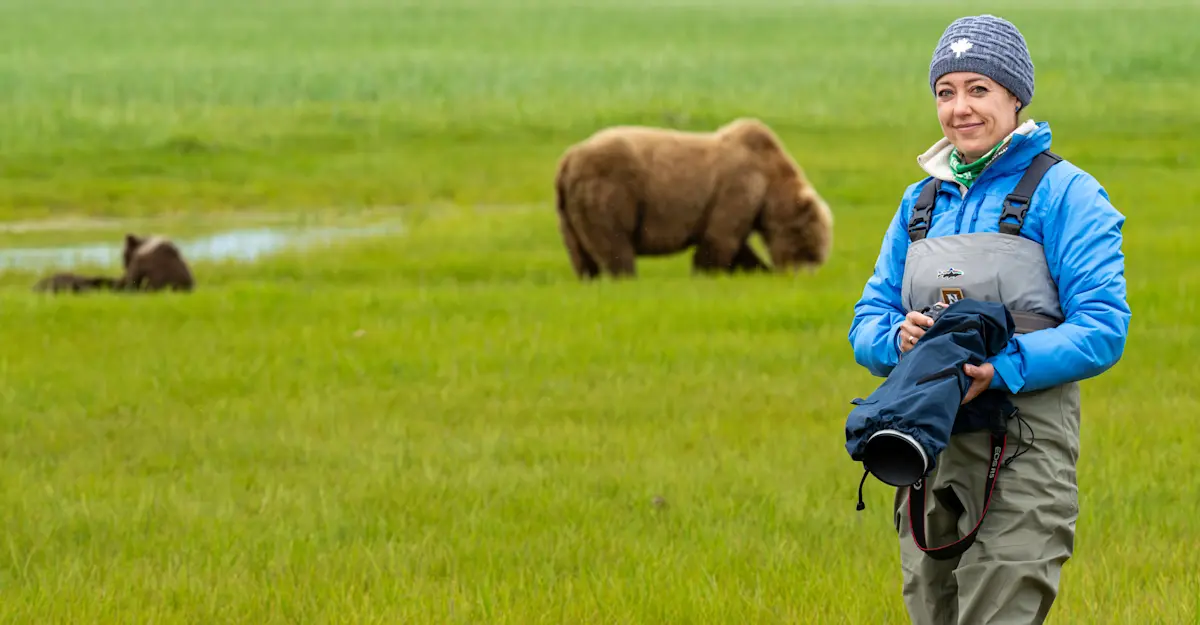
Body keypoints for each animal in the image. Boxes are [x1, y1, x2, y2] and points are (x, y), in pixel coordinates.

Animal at [553, 117, 833, 280]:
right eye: (810, 251)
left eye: (816, 256)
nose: (803, 275)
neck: (770, 185)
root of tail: (568, 159)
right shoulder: (738, 187)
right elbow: (721, 239)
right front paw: (705, 273)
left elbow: (739, 247)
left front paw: (757, 270)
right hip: (612, 189)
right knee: (615, 242)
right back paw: (625, 276)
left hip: (569, 212)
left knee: (580, 252)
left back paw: (590, 277)